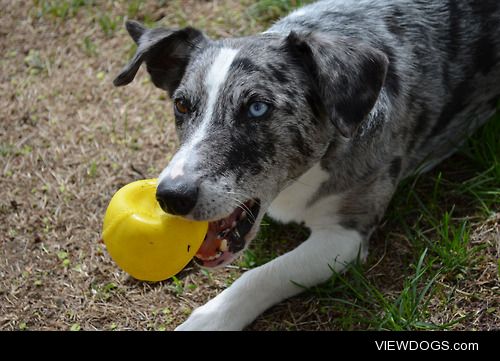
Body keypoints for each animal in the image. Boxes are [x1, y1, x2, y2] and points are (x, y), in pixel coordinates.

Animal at [113, 0, 500, 330]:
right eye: (181, 105)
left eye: (257, 108)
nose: (171, 197)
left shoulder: (344, 236)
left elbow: (262, 274)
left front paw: (210, 318)